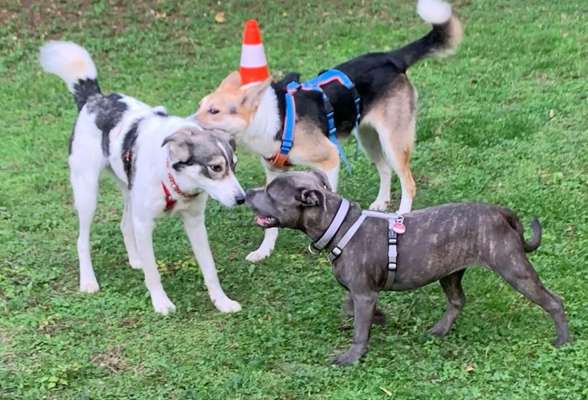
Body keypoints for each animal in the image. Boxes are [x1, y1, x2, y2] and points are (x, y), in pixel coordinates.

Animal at [39, 40, 245, 316]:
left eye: (234, 166)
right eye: (215, 167)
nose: (242, 199)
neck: (172, 177)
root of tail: (94, 97)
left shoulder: (194, 222)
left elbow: (210, 268)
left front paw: (221, 301)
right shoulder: (145, 223)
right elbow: (154, 273)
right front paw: (161, 303)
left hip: (129, 190)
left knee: (125, 224)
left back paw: (135, 259)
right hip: (87, 193)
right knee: (82, 240)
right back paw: (89, 281)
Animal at [195, 0, 462, 262]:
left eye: (214, 111)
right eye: (200, 105)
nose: (189, 122)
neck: (272, 118)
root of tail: (391, 57)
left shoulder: (329, 158)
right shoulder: (273, 172)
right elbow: (270, 221)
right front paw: (264, 250)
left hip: (393, 141)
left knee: (408, 182)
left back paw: (401, 215)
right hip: (368, 138)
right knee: (385, 169)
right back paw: (380, 202)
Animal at [247, 172, 568, 366]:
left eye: (270, 192)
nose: (247, 193)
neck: (338, 224)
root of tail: (500, 212)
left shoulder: (363, 292)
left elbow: (359, 328)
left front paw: (353, 355)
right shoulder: (358, 291)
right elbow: (350, 310)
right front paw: (380, 318)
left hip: (513, 269)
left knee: (554, 301)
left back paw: (563, 340)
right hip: (449, 273)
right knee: (457, 301)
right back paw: (439, 330)